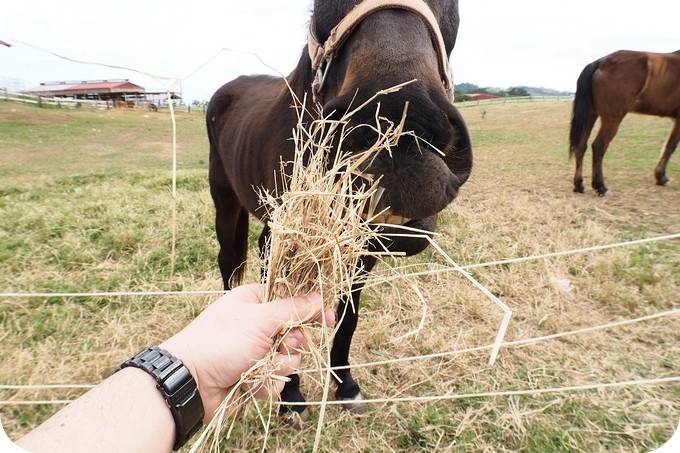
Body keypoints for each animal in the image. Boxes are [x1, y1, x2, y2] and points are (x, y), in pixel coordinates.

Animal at [568, 50, 680, 196]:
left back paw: (579, 185)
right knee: (598, 147)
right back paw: (601, 187)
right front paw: (661, 177)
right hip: (612, 119)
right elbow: (671, 146)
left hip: (590, 115)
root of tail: (600, 62)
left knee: (581, 146)